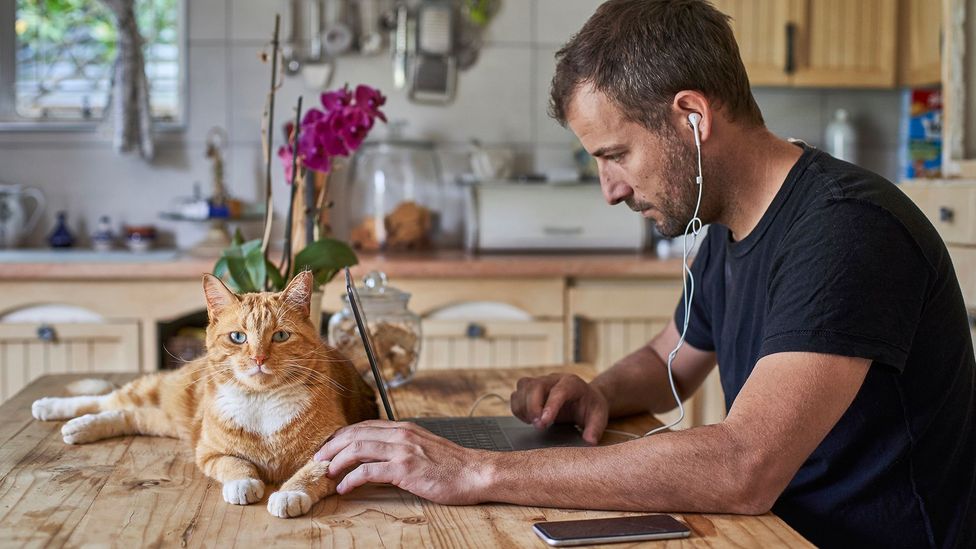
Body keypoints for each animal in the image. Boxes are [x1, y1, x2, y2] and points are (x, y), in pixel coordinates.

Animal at [30, 272, 378, 516]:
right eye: (238, 337)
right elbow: (234, 465)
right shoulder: (209, 451)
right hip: (161, 395)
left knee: (128, 414)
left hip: (164, 422)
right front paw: (243, 483)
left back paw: (80, 427)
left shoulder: (334, 452)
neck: (262, 402)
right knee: (112, 399)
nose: (259, 358)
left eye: (280, 336)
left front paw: (289, 494)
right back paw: (52, 408)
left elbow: (308, 475)